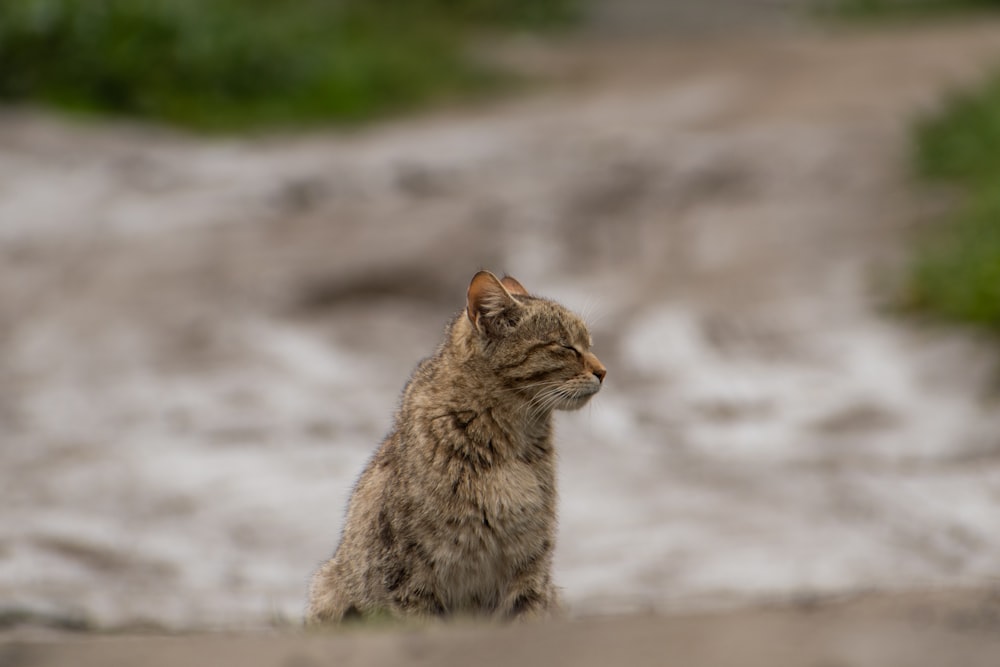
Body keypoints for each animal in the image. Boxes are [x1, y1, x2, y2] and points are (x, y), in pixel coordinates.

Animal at [304, 268, 604, 624]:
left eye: (589, 343)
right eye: (565, 346)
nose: (603, 371)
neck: (511, 443)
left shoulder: (530, 571)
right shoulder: (411, 579)